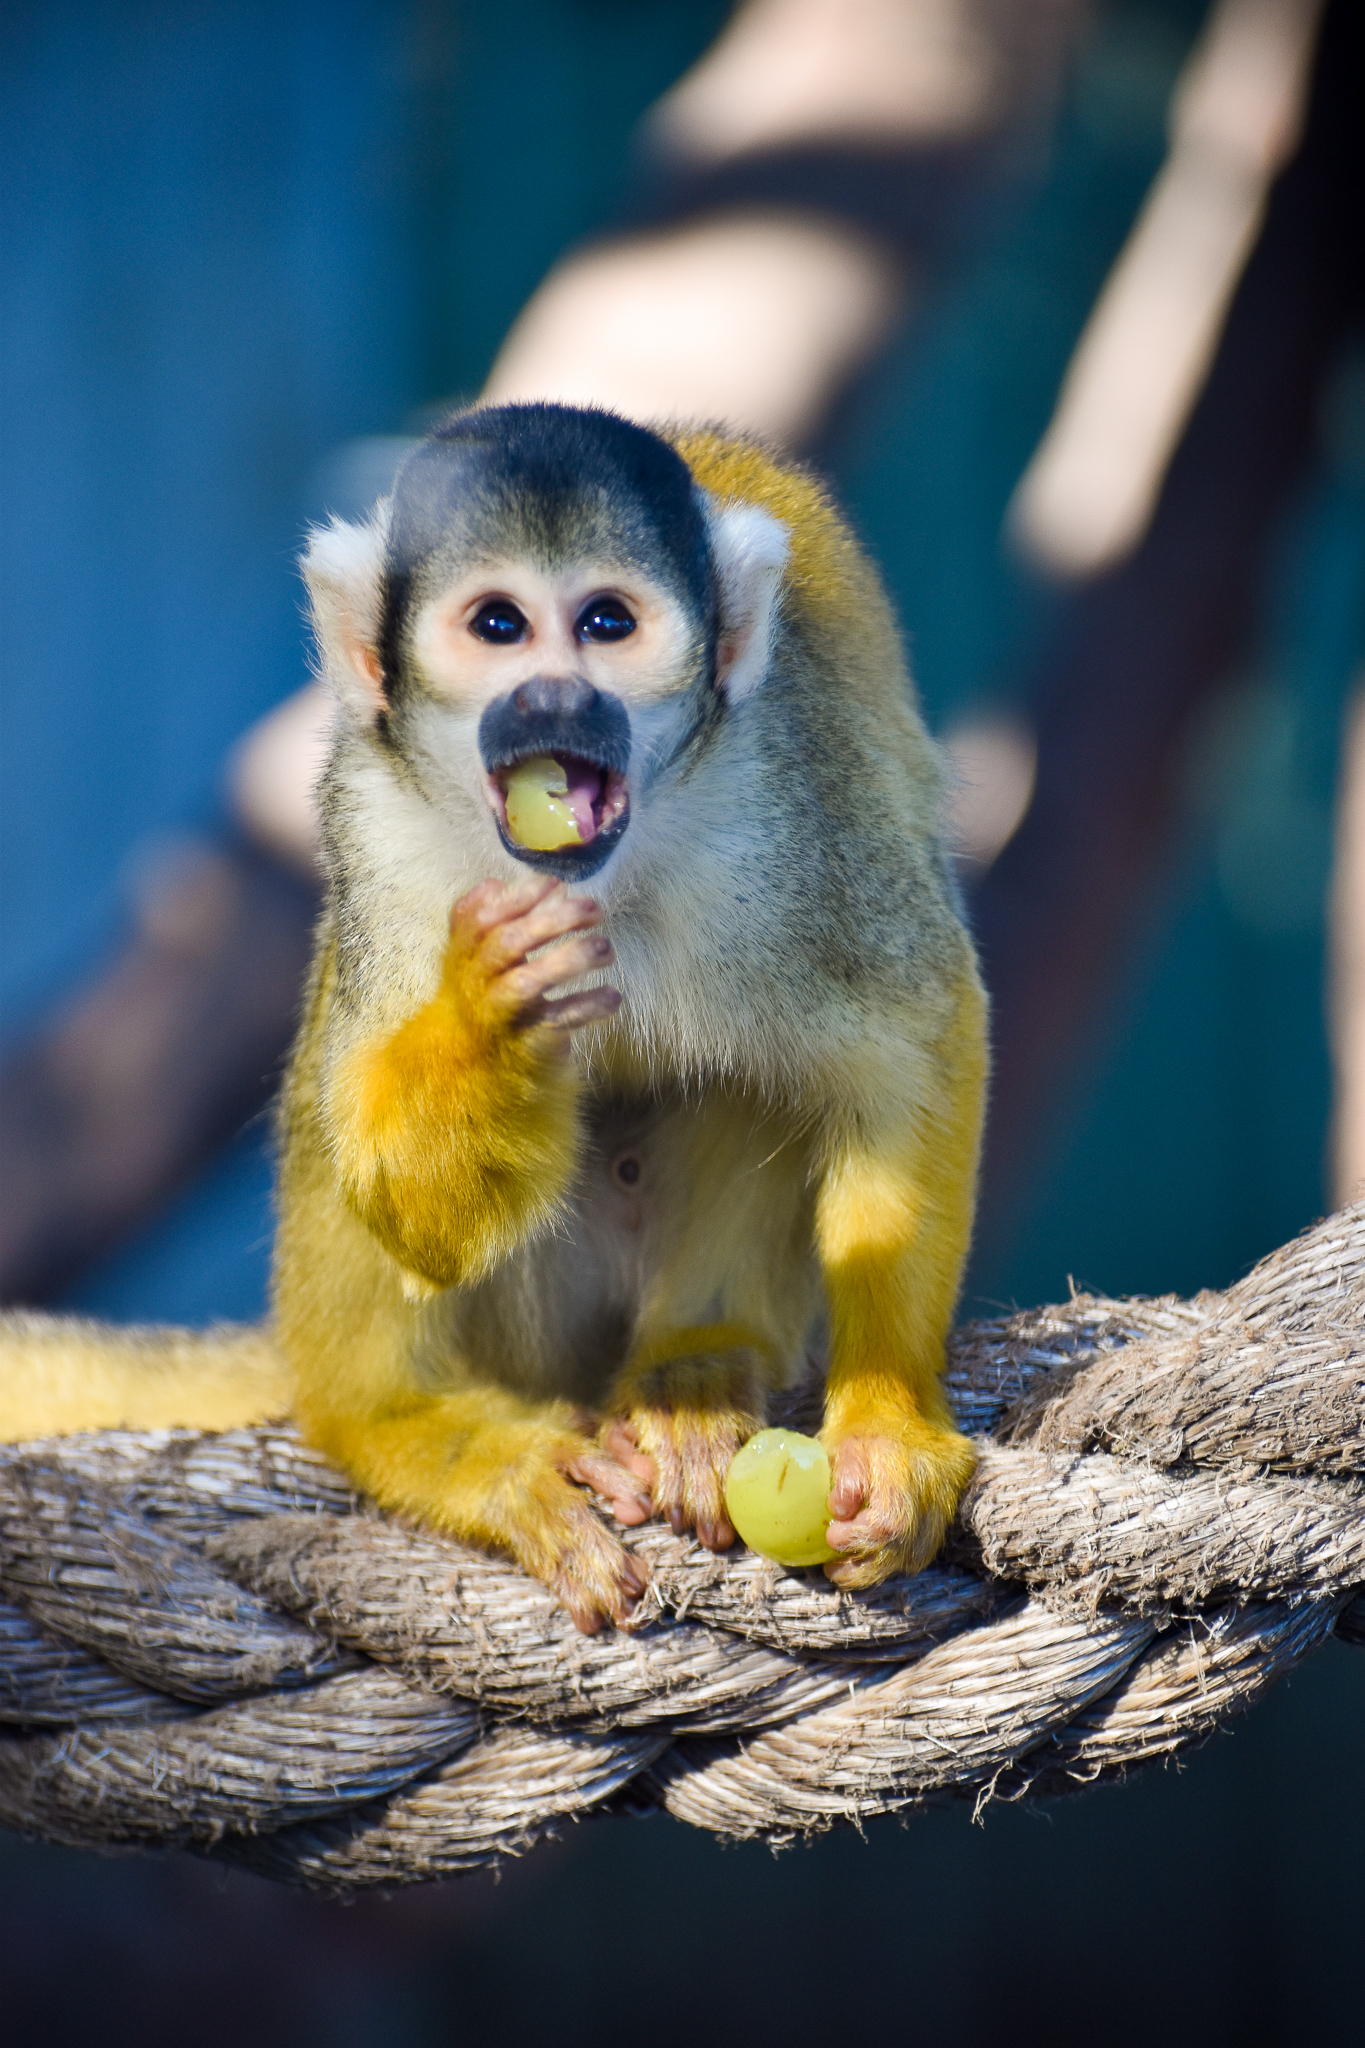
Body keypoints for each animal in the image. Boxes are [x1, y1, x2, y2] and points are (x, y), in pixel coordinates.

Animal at [0, 403, 986, 1633]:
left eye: (607, 622)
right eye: (498, 625)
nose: (555, 699)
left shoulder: (803, 810)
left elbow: (919, 1039)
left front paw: (890, 1424)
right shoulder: (378, 825)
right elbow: (407, 1201)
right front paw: (491, 1020)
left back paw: (696, 1365)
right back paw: (401, 1425)